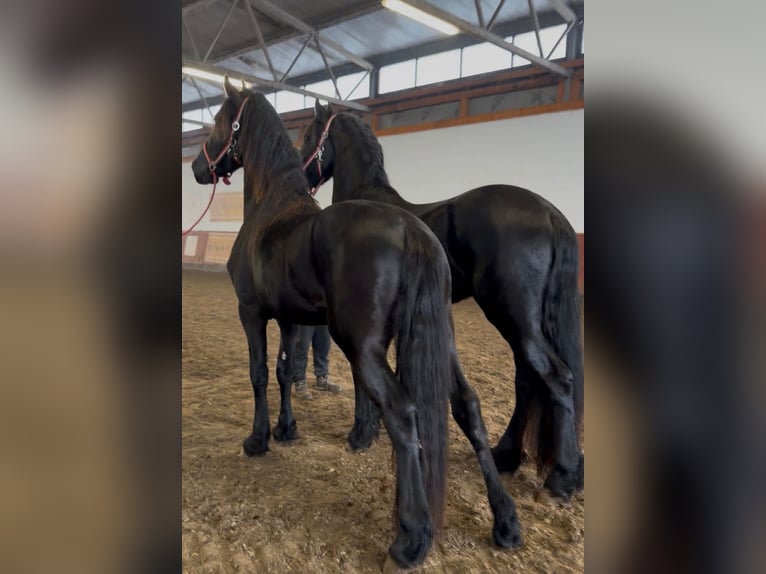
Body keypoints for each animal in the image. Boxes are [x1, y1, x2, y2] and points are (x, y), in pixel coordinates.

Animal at [190, 78, 521, 569]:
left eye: (216, 121)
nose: (197, 167)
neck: (271, 209)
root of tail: (412, 231)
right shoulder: (291, 319)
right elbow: (286, 372)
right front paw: (287, 431)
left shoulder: (251, 312)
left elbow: (259, 374)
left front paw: (257, 439)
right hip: (441, 344)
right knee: (469, 407)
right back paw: (505, 522)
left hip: (363, 347)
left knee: (403, 414)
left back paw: (411, 538)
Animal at [300, 102, 584, 499]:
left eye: (309, 135)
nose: (302, 173)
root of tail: (547, 211)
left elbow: (362, 380)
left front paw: (361, 436)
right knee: (528, 380)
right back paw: (507, 456)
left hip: (512, 314)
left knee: (556, 377)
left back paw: (562, 477)